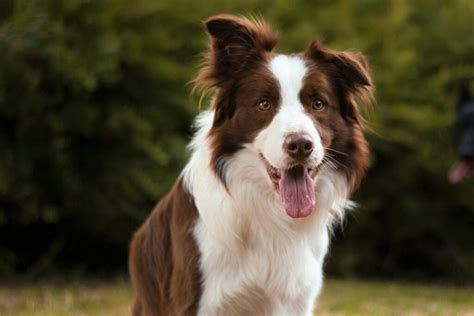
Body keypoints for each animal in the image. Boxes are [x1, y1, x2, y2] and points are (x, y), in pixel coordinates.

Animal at [130, 14, 374, 316]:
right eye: (264, 104)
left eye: (318, 103)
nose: (300, 145)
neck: (271, 213)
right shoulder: (196, 300)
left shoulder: (298, 298)